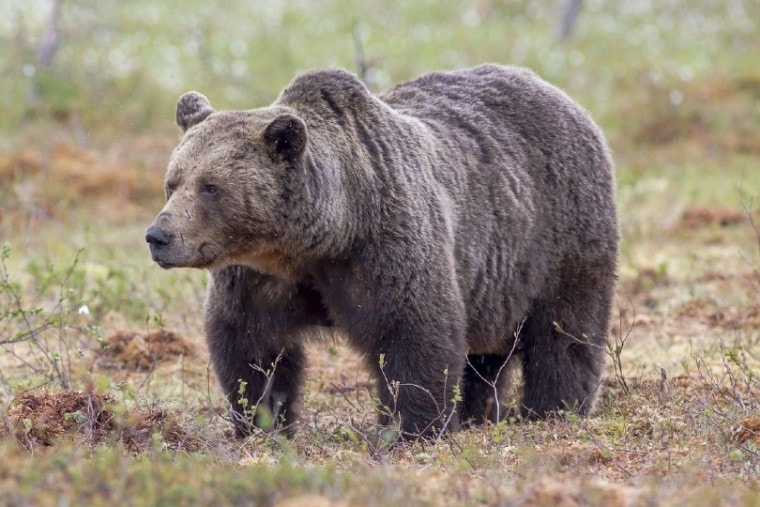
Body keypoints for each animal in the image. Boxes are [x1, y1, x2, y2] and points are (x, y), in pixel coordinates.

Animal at [147, 62, 616, 436]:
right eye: (173, 181)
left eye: (211, 187)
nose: (158, 236)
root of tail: (558, 93)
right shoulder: (260, 277)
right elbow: (251, 345)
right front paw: (261, 421)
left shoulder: (384, 245)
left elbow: (414, 333)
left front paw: (411, 427)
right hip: (494, 283)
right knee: (483, 358)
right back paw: (477, 414)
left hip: (560, 231)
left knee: (564, 333)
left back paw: (554, 410)